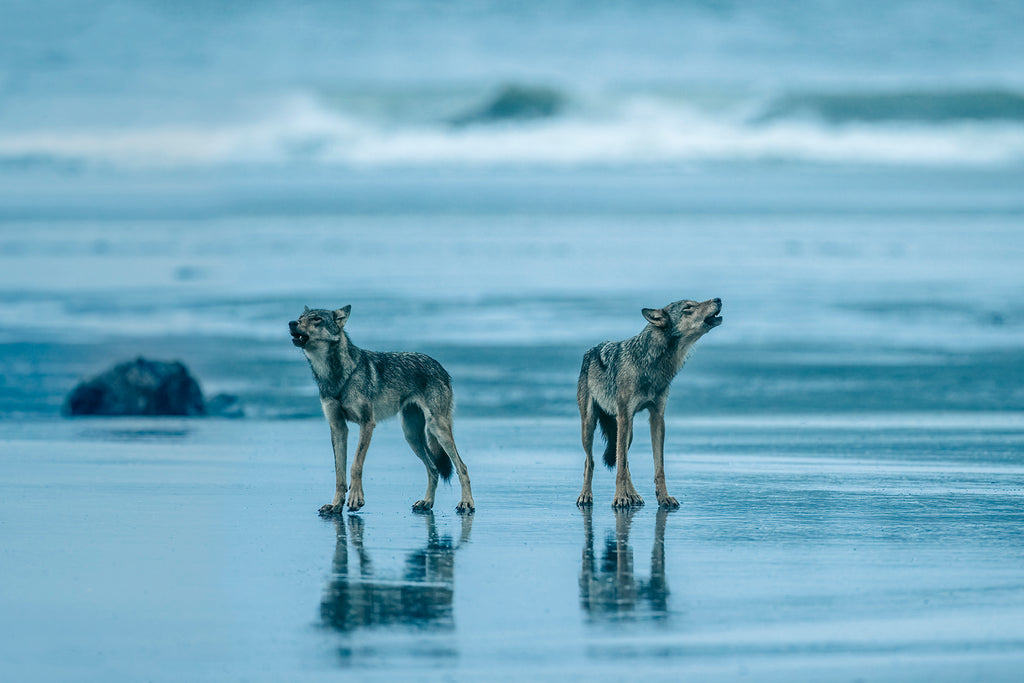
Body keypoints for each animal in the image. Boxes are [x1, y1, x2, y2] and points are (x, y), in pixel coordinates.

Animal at [290, 307, 473, 516]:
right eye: (300, 318)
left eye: (316, 319)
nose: (291, 323)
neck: (337, 376)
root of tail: (438, 365)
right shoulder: (337, 427)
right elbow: (339, 473)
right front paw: (335, 504)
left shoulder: (367, 423)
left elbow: (355, 465)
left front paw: (355, 499)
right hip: (412, 436)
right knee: (433, 468)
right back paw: (427, 502)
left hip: (437, 429)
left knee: (462, 466)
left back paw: (466, 503)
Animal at [577, 296, 720, 507]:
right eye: (688, 307)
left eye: (695, 302)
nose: (718, 299)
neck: (650, 364)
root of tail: (590, 350)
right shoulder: (625, 416)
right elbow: (619, 467)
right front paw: (619, 497)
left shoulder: (657, 416)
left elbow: (657, 467)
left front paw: (664, 497)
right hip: (591, 425)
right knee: (591, 461)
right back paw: (586, 495)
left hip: (628, 432)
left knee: (624, 460)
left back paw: (633, 495)